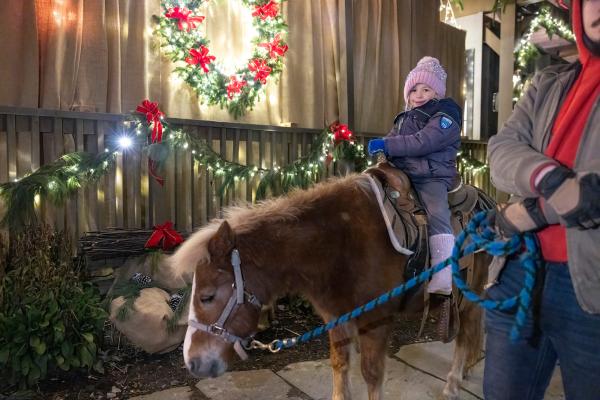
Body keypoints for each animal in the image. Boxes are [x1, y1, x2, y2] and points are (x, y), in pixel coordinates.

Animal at [169, 175, 488, 400]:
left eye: (207, 296)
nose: (192, 363)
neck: (338, 243)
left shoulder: (375, 320)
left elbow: (371, 373)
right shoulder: (336, 317)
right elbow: (339, 365)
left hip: (469, 294)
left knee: (465, 334)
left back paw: (453, 384)